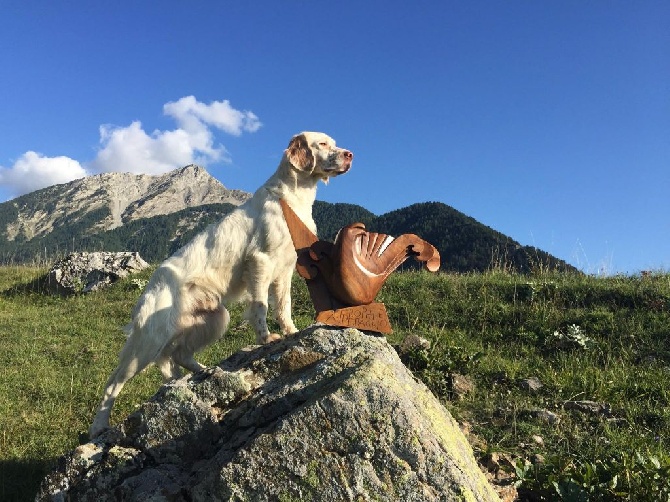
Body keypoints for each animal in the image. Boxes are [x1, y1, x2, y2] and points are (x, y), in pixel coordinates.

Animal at [91, 131, 354, 438]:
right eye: (322, 144)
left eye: (333, 143)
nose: (349, 155)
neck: (292, 197)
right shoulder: (261, 261)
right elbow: (261, 307)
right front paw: (267, 338)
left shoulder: (286, 269)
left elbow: (283, 306)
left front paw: (291, 331)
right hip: (149, 339)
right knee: (114, 383)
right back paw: (99, 426)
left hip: (215, 317)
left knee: (178, 355)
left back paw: (203, 372)